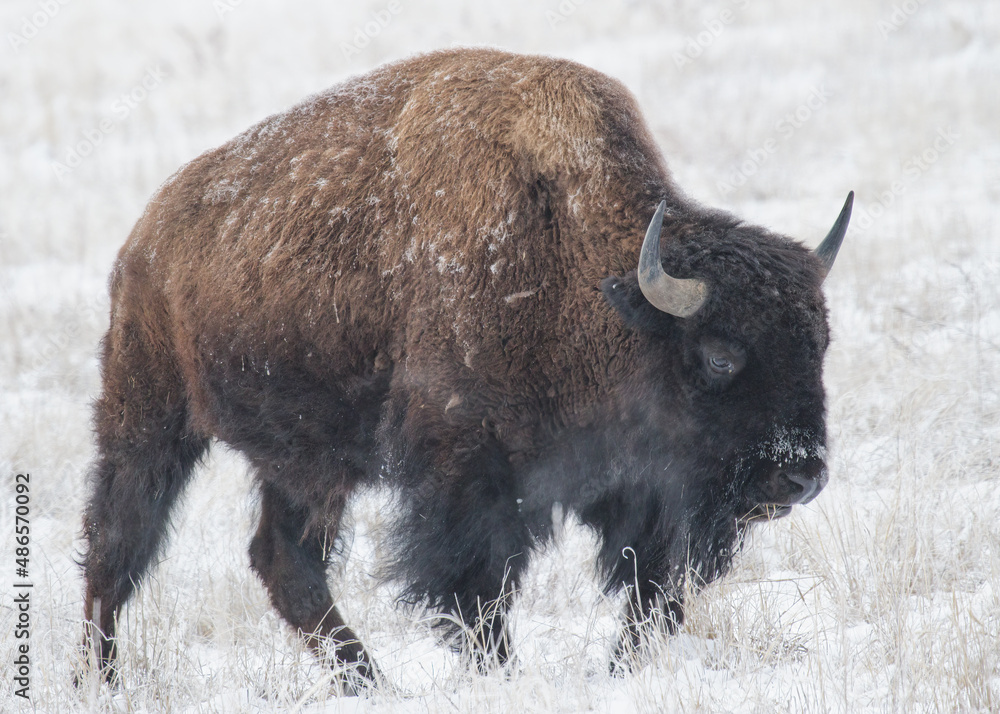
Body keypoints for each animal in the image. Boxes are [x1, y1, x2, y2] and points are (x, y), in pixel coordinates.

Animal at [80, 48, 851, 690]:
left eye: (819, 345)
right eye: (720, 355)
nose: (802, 476)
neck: (579, 270)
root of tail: (145, 239)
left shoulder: (643, 497)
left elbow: (653, 598)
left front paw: (615, 673)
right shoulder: (469, 479)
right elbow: (477, 593)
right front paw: (503, 677)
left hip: (307, 464)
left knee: (284, 561)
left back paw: (370, 683)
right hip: (149, 418)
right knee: (118, 542)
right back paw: (101, 678)